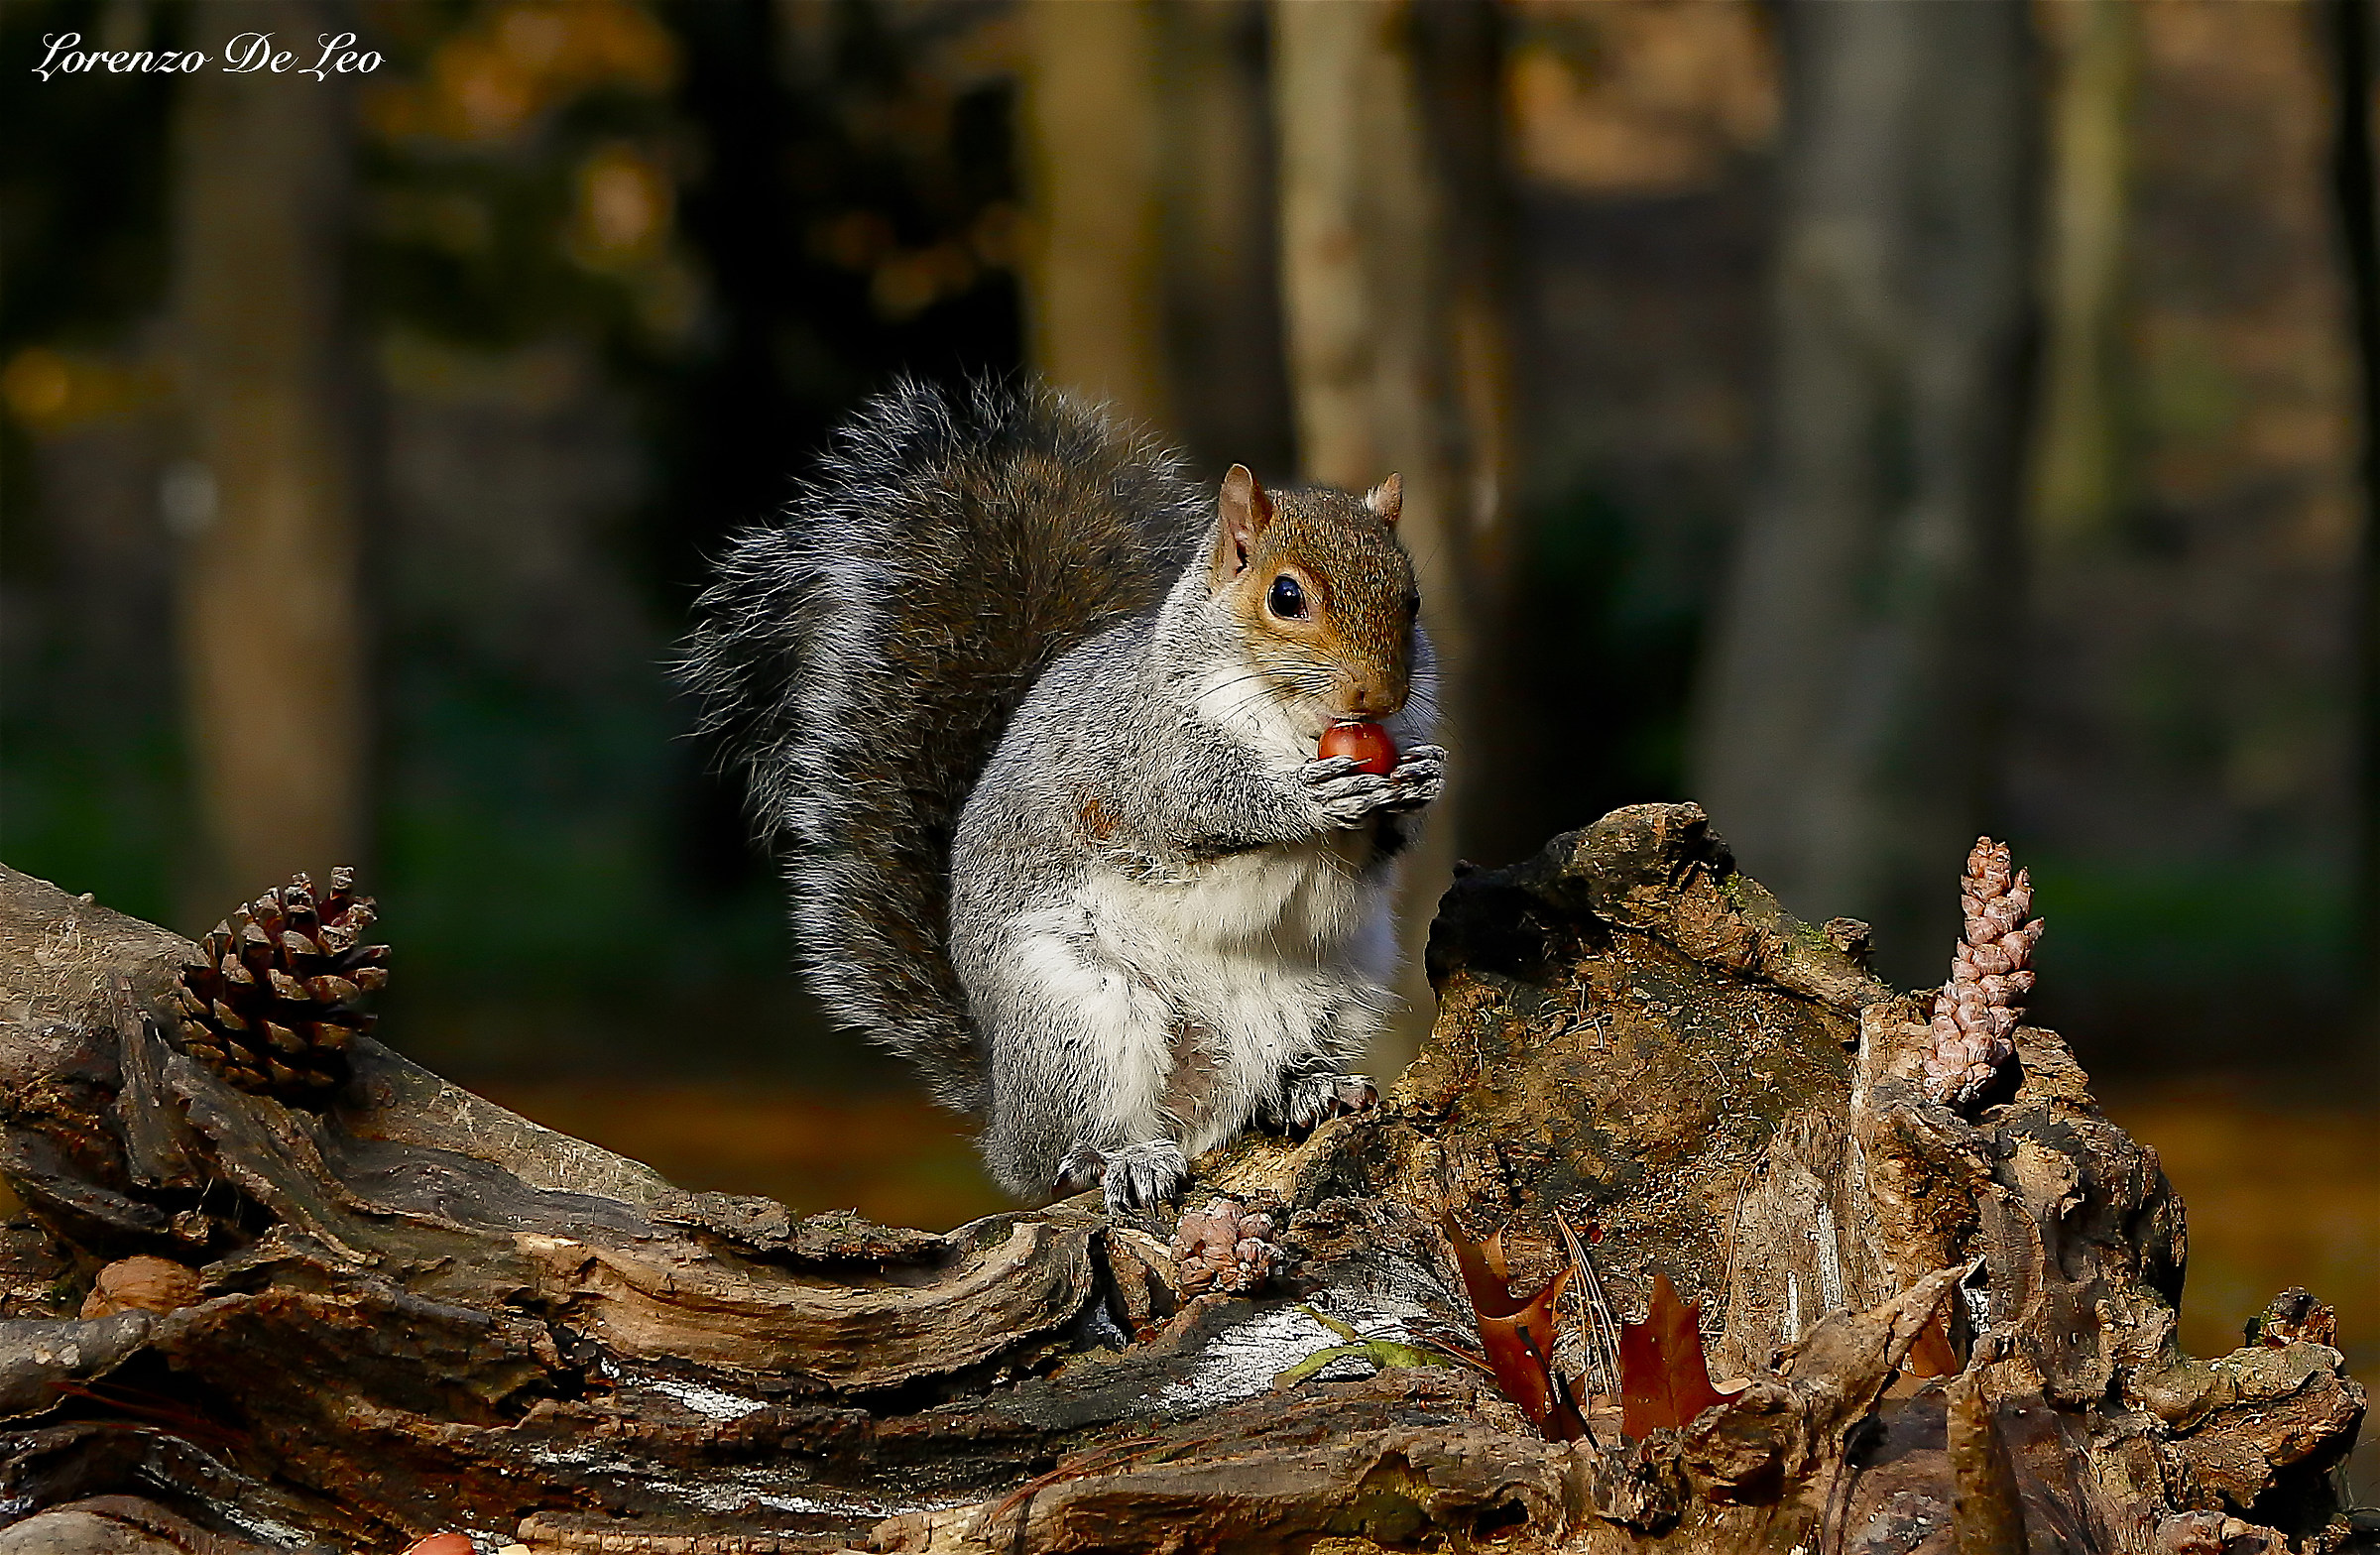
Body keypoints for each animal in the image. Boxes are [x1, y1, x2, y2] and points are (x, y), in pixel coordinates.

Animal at [680, 376, 1437, 1214]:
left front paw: (1417, 777)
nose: (1378, 696)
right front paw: (1313, 800)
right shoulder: (1148, 752)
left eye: (1411, 600)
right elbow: (1201, 807)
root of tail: (1004, 1115)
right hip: (1078, 1016)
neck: (1295, 720)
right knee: (1072, 1150)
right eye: (1285, 596)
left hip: (1337, 994)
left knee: (1249, 1091)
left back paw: (1303, 1088)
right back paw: (1123, 1158)